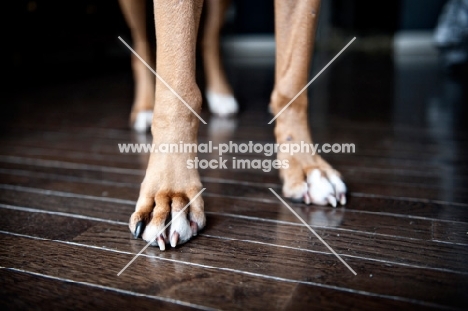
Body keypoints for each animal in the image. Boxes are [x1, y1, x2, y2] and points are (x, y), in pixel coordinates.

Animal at [119, 0, 346, 250]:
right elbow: (178, 91)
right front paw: (170, 191)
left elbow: (291, 86)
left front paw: (305, 165)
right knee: (141, 44)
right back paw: (145, 107)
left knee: (209, 39)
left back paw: (221, 94)